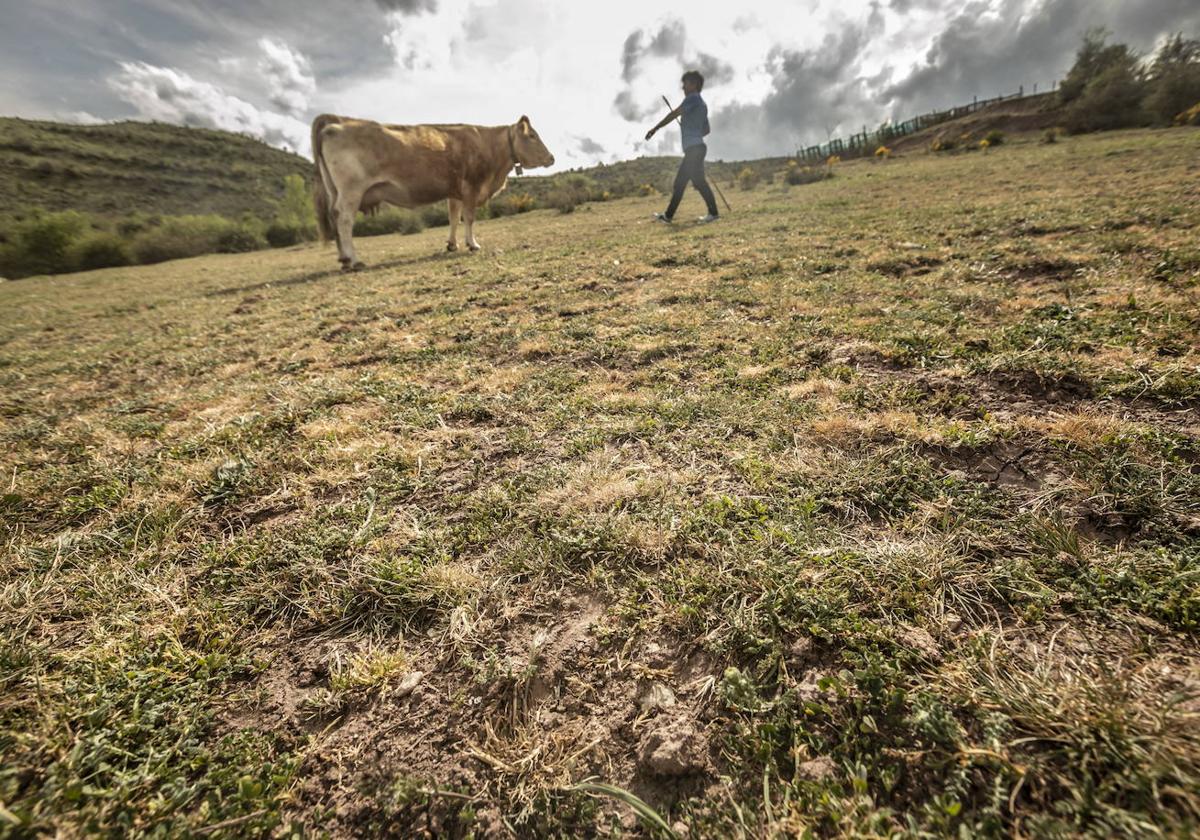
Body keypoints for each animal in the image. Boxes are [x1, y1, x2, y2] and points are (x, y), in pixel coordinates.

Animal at [309, 113, 552, 271]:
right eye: (532, 136)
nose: (552, 158)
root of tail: (336, 123)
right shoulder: (471, 187)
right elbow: (469, 218)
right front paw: (472, 244)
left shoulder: (455, 191)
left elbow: (454, 217)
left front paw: (452, 245)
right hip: (351, 191)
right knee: (344, 220)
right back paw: (353, 259)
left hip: (335, 191)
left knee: (334, 218)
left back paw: (343, 259)